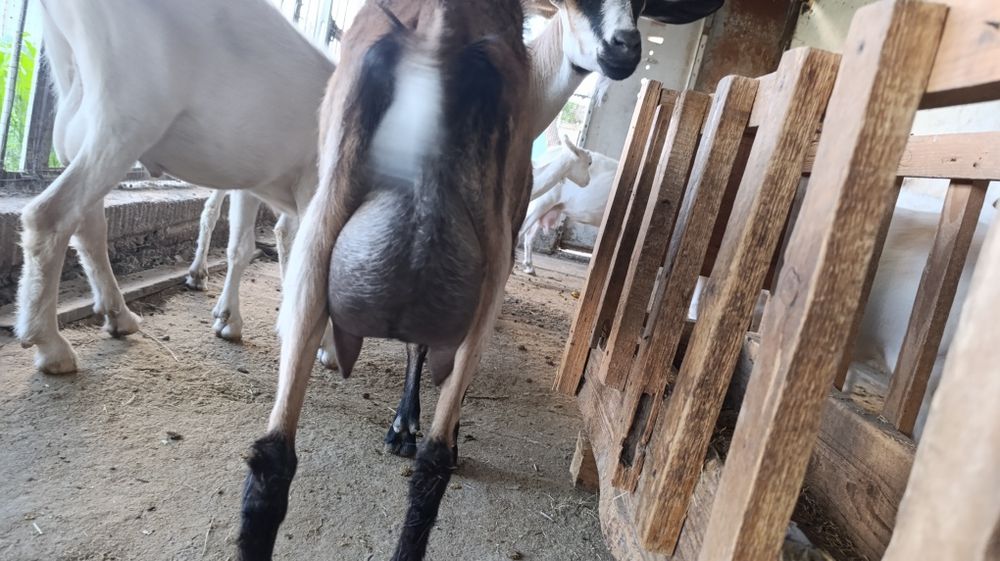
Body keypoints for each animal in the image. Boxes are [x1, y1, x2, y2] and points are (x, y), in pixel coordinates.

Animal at [18, 0, 339, 374]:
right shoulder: (314, 181)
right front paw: (326, 346)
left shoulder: (257, 180)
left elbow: (249, 247)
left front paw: (233, 320)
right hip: (129, 113)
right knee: (50, 215)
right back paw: (52, 346)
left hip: (78, 107)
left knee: (89, 225)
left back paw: (119, 316)